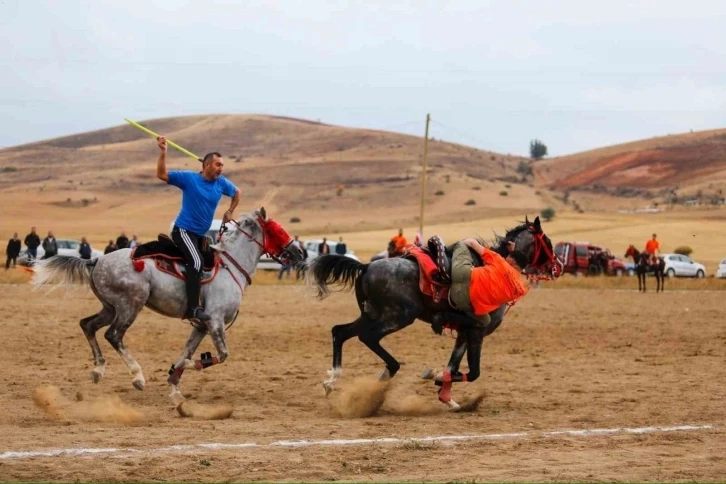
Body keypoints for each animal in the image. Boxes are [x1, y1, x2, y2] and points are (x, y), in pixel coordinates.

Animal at [31, 206, 302, 402]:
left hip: (110, 307)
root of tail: (96, 261)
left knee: (87, 325)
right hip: (131, 305)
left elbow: (186, 351)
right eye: (278, 230)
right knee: (113, 335)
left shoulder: (201, 326)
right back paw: (137, 376)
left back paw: (99, 370)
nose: (299, 253)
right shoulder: (214, 322)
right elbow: (220, 355)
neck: (230, 266)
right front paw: (184, 367)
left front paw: (174, 385)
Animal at [304, 217, 560, 410]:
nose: (558, 266)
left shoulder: (464, 333)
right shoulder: (478, 330)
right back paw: (387, 373)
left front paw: (448, 399)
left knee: (340, 332)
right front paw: (435, 377)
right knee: (367, 337)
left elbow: (454, 366)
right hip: (397, 317)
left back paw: (334, 381)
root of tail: (366, 266)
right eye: (547, 241)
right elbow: (472, 371)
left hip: (371, 315)